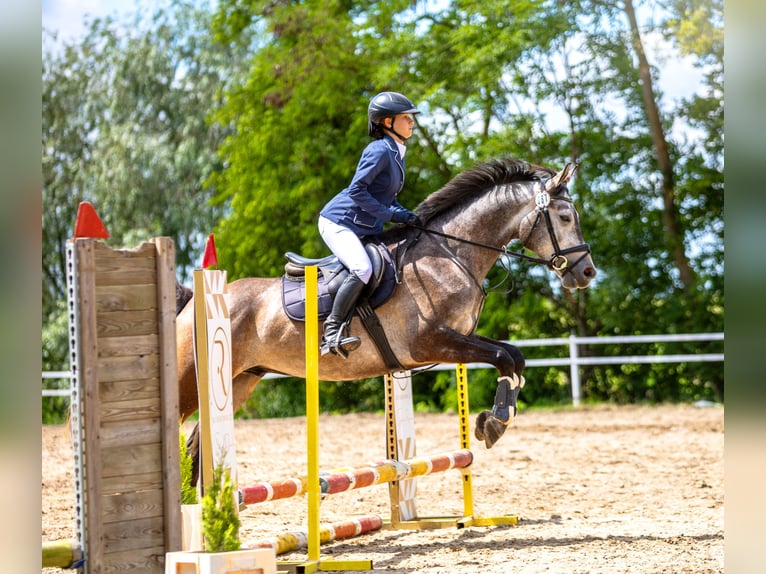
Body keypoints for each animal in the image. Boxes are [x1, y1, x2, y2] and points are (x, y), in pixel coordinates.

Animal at [177, 159, 596, 482]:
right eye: (564, 217)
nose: (587, 273)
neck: (450, 255)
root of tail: (195, 300)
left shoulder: (458, 338)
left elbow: (514, 356)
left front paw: (493, 422)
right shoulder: (431, 343)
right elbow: (505, 358)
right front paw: (494, 423)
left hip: (242, 380)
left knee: (198, 445)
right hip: (192, 382)